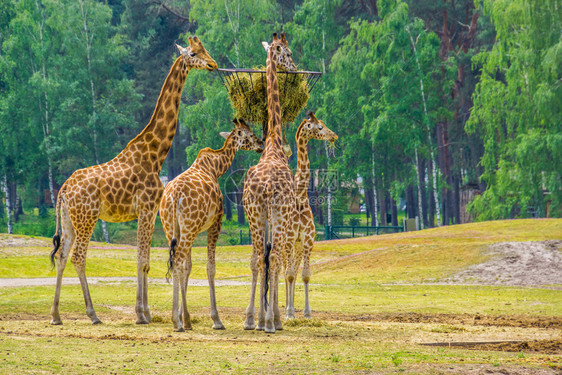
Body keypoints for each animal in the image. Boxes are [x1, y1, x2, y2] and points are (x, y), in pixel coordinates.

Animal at [48, 37, 217, 326]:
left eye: (204, 49)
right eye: (194, 53)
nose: (213, 64)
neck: (155, 154)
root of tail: (63, 190)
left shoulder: (145, 212)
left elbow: (143, 259)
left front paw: (146, 312)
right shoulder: (148, 208)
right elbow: (143, 261)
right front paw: (142, 314)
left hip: (70, 220)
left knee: (61, 255)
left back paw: (56, 315)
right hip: (87, 218)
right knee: (78, 257)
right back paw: (92, 314)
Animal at [158, 119, 262, 332]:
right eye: (249, 134)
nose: (260, 144)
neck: (215, 168)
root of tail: (174, 197)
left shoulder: (189, 230)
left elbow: (188, 267)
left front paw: (185, 316)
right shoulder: (215, 223)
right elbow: (210, 267)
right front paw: (216, 320)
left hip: (171, 228)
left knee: (176, 262)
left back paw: (179, 320)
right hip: (189, 227)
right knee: (178, 261)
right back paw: (178, 322)